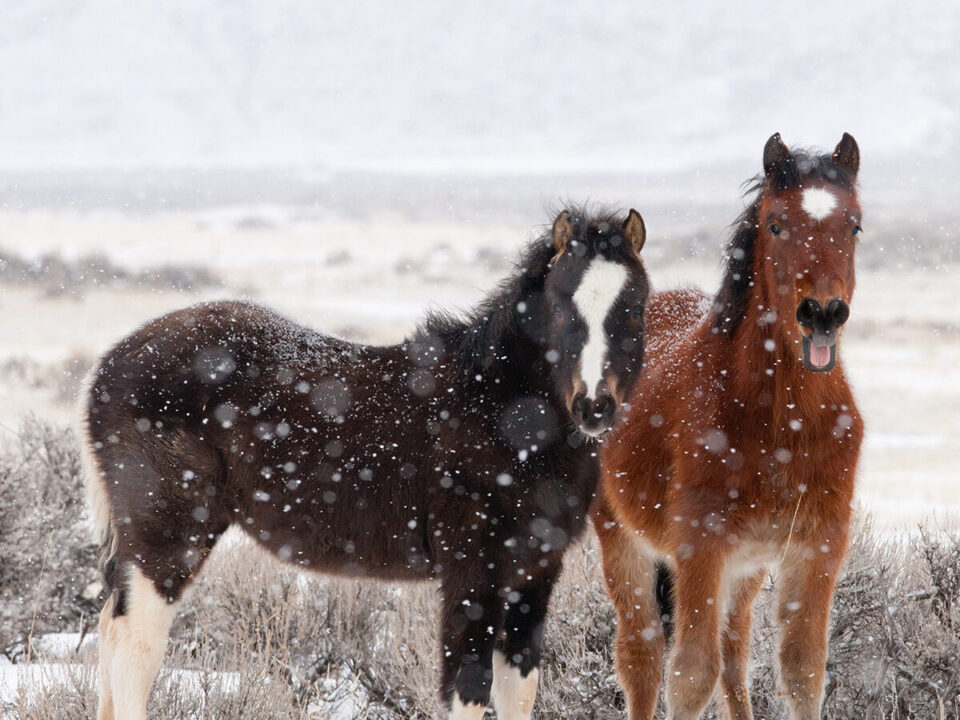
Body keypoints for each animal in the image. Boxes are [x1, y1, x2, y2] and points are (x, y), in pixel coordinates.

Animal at [82, 207, 652, 720]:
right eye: (561, 308)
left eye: (634, 309)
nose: (595, 406)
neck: (498, 412)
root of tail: (107, 365)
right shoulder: (472, 577)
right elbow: (468, 690)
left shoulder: (534, 576)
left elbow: (519, 691)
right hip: (167, 539)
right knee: (134, 649)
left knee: (111, 635)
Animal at [596, 136, 868, 720]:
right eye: (776, 225)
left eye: (854, 225)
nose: (822, 314)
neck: (781, 423)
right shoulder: (701, 543)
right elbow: (690, 676)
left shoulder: (817, 546)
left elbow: (803, 672)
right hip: (622, 540)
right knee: (642, 657)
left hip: (745, 569)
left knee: (734, 650)